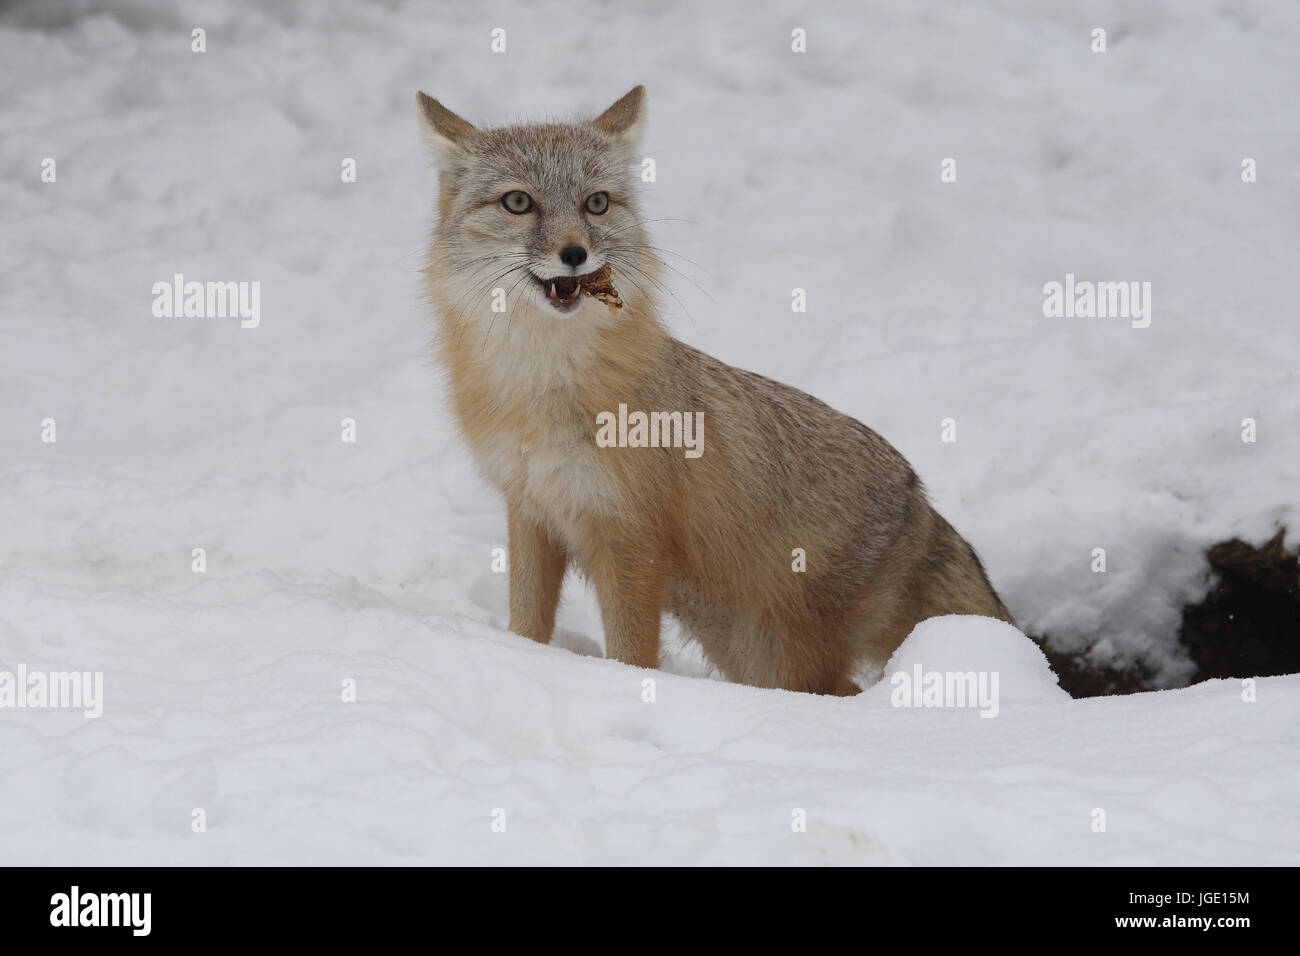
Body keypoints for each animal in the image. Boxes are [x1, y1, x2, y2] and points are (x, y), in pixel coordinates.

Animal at [421, 83, 1008, 697]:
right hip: (752, 655)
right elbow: (527, 627)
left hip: (785, 662)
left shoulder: (629, 538)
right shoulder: (532, 512)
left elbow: (632, 655)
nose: (575, 254)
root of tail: (918, 494)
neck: (541, 394)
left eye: (596, 204)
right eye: (518, 203)